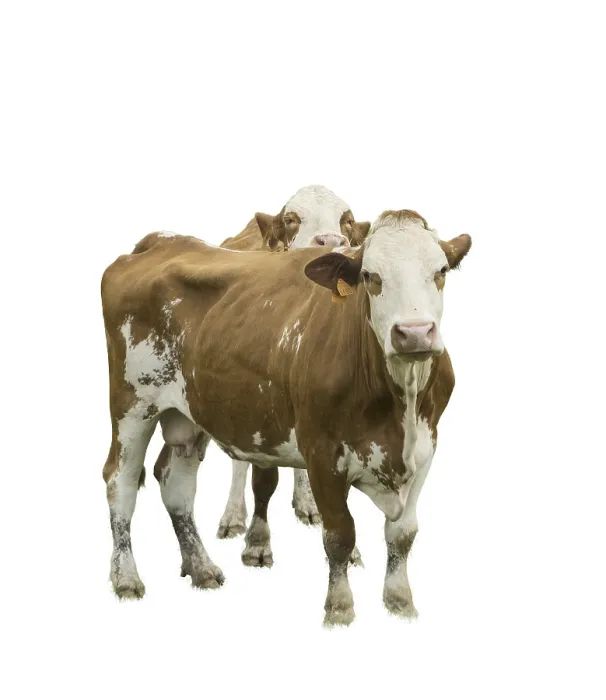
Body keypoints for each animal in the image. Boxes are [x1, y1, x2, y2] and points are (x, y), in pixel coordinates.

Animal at [101, 209, 471, 625]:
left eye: (441, 271)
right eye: (369, 276)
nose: (414, 333)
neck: (398, 407)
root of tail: (161, 241)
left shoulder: (425, 449)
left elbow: (403, 533)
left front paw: (400, 602)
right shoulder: (322, 453)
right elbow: (340, 535)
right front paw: (339, 608)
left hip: (188, 412)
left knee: (175, 482)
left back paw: (201, 566)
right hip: (132, 405)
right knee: (120, 480)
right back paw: (126, 577)